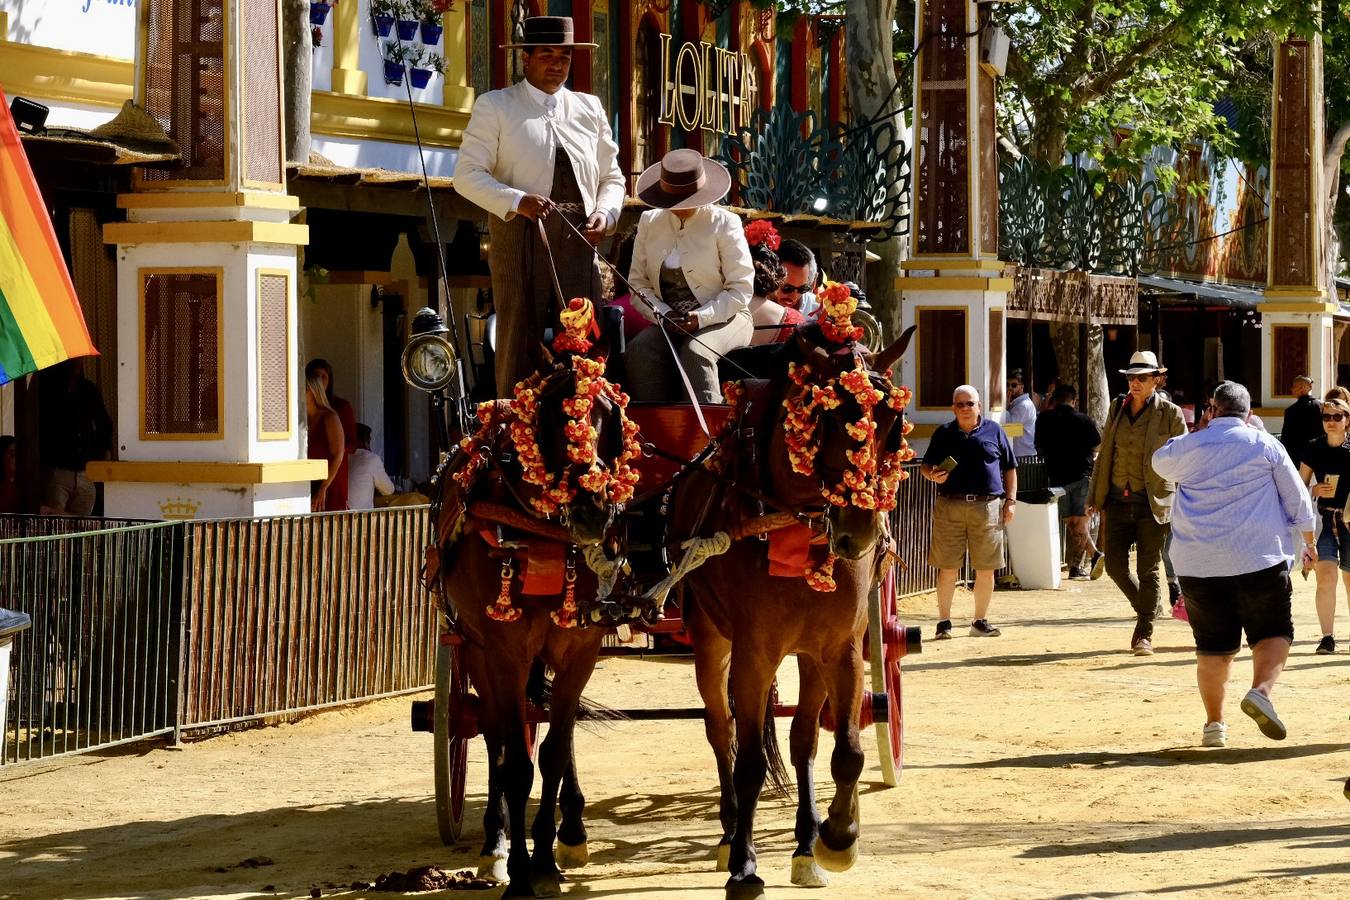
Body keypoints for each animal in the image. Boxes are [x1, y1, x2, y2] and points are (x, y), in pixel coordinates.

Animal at [434, 353, 639, 900]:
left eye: (610, 417)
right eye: (550, 418)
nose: (593, 509)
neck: (541, 532)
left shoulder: (580, 648)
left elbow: (553, 753)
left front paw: (547, 859)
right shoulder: (504, 653)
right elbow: (516, 765)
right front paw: (522, 872)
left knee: (549, 734)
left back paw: (572, 833)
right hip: (474, 649)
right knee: (490, 736)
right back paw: (495, 844)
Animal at [669, 327, 912, 895]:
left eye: (892, 424)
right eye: (825, 416)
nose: (858, 531)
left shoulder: (837, 648)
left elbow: (840, 749)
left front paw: (833, 838)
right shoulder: (754, 654)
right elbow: (750, 762)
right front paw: (745, 865)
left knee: (801, 739)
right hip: (711, 641)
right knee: (722, 731)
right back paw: (728, 834)